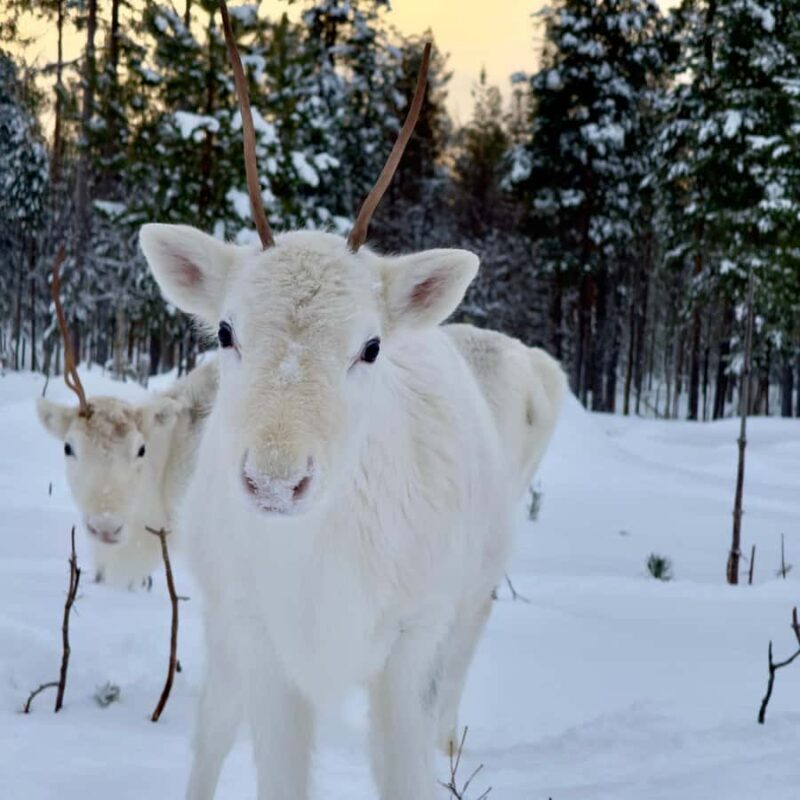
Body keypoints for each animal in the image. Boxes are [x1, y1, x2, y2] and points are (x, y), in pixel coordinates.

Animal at [139, 7, 566, 798]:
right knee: (208, 738)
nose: (276, 482)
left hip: (473, 598)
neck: (323, 562)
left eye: (370, 346)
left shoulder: (412, 641)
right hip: (220, 629)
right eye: (225, 330)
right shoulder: (263, 642)